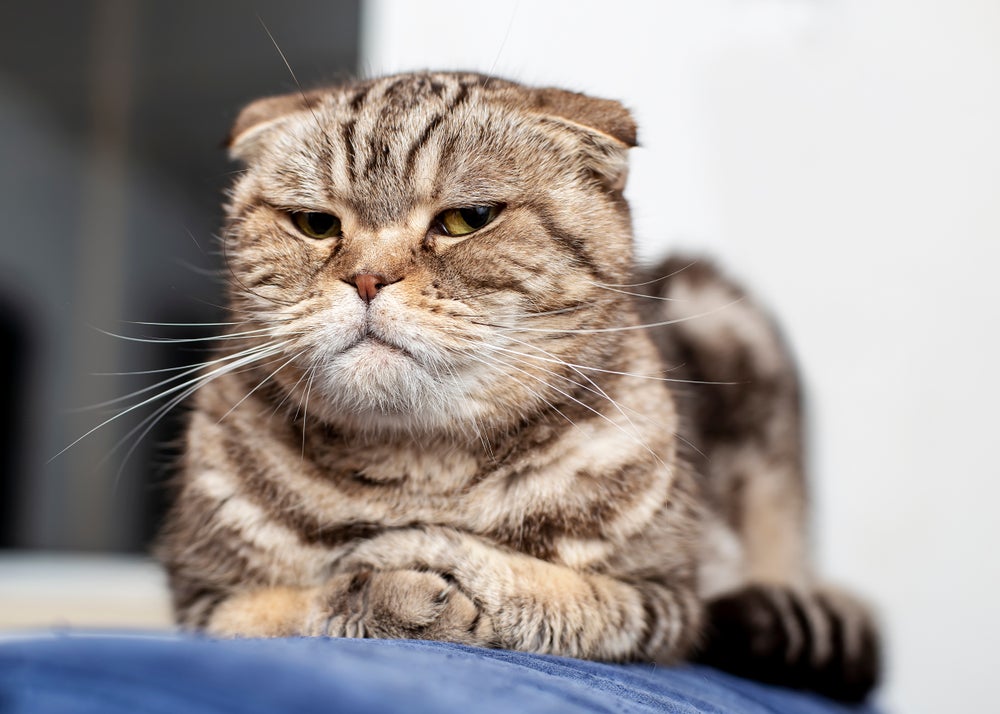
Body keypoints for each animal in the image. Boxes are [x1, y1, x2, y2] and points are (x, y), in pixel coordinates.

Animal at [154, 72, 876, 700]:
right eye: (316, 224)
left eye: (467, 219)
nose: (366, 278)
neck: (420, 471)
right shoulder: (202, 597)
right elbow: (285, 607)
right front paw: (392, 592)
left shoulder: (670, 597)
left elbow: (564, 595)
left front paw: (422, 560)